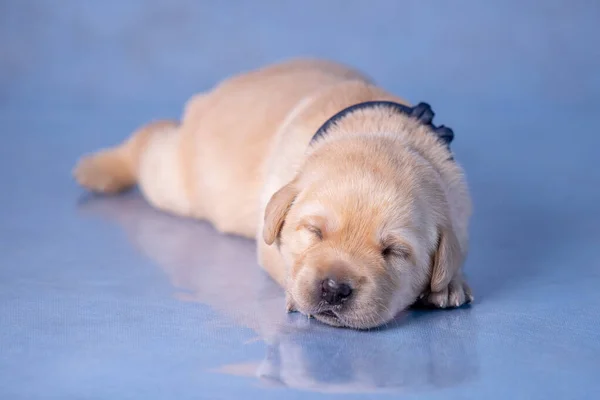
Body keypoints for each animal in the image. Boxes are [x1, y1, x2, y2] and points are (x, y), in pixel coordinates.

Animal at [72, 57, 472, 330]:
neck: (381, 132)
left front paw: (449, 285)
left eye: (394, 252)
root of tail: (211, 95)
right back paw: (99, 169)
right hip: (176, 184)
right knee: (149, 143)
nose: (334, 288)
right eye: (314, 232)